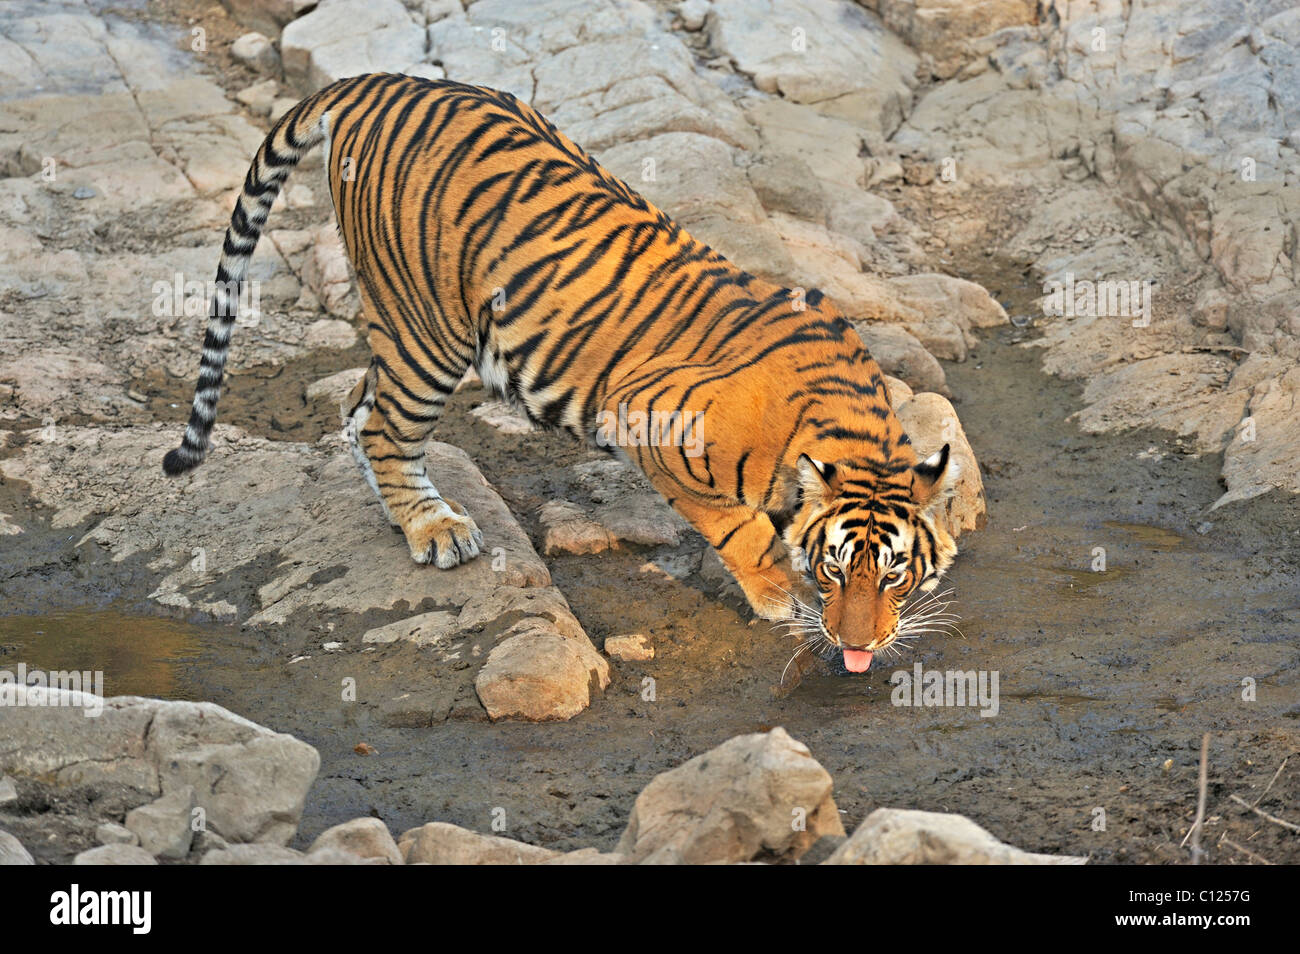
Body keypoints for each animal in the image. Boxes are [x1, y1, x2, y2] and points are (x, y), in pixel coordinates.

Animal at [159, 72, 956, 670]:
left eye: (893, 575)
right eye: (836, 570)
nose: (859, 644)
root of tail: (381, 80)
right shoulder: (647, 418)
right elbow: (742, 531)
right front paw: (779, 597)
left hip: (405, 332)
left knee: (359, 404)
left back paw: (405, 512)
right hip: (430, 330)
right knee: (386, 426)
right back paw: (434, 529)